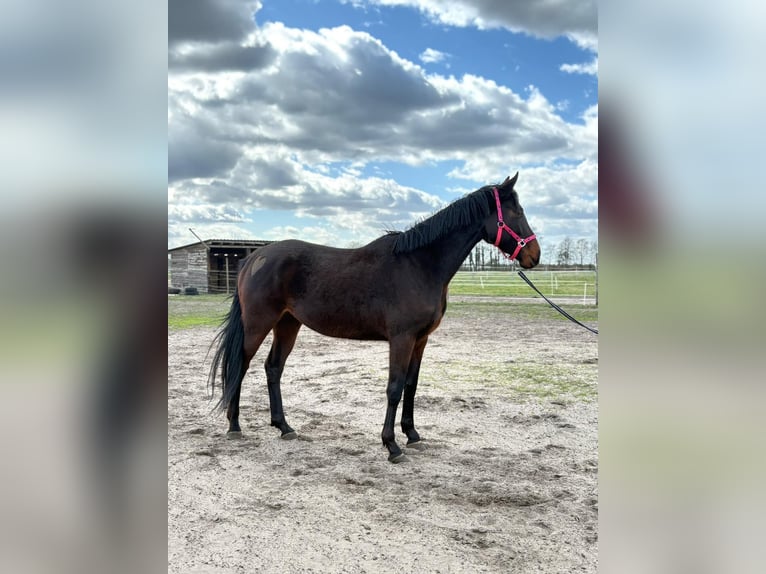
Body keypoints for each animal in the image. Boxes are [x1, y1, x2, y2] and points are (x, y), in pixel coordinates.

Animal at [208, 173, 540, 462]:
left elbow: (411, 385)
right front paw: (392, 445)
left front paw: (412, 434)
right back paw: (234, 425)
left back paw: (284, 427)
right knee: (240, 365)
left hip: (288, 324)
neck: (419, 264)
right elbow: (394, 387)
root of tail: (255, 256)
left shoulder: (420, 340)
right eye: (517, 211)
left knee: (273, 368)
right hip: (258, 324)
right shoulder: (402, 339)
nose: (534, 255)